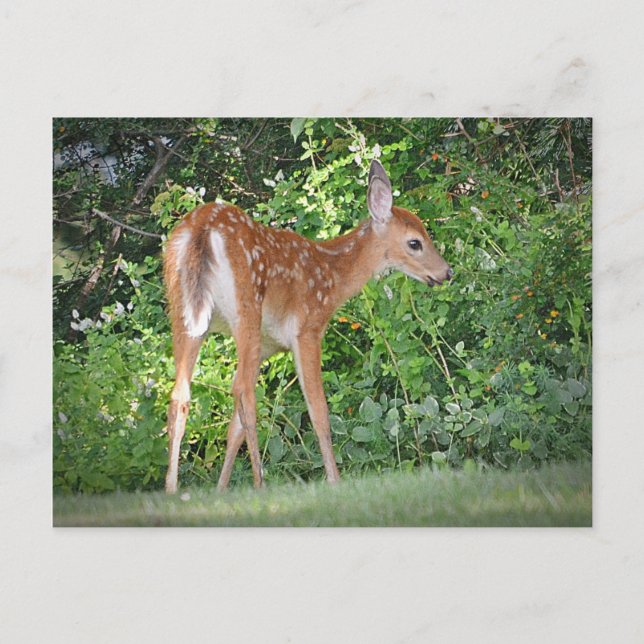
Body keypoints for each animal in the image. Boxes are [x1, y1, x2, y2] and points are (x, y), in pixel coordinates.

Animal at [163, 159, 453, 493]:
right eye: (415, 242)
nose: (446, 272)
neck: (332, 277)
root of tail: (202, 229)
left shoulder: (268, 346)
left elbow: (233, 429)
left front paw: (221, 489)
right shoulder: (307, 329)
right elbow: (319, 409)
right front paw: (334, 480)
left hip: (183, 312)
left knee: (180, 396)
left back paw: (171, 489)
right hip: (246, 306)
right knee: (243, 391)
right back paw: (260, 483)